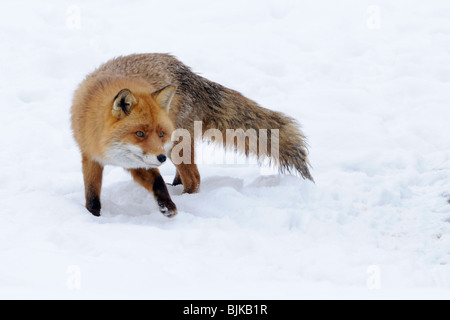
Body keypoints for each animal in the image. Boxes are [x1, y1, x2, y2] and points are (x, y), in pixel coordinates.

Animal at [72, 53, 312, 218]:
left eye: (161, 133)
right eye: (139, 133)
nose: (160, 158)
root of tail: (193, 77)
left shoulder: (142, 160)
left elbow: (157, 184)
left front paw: (168, 206)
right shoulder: (92, 157)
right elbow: (92, 194)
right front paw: (93, 217)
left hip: (176, 148)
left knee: (194, 179)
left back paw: (186, 199)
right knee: (186, 176)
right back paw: (177, 187)